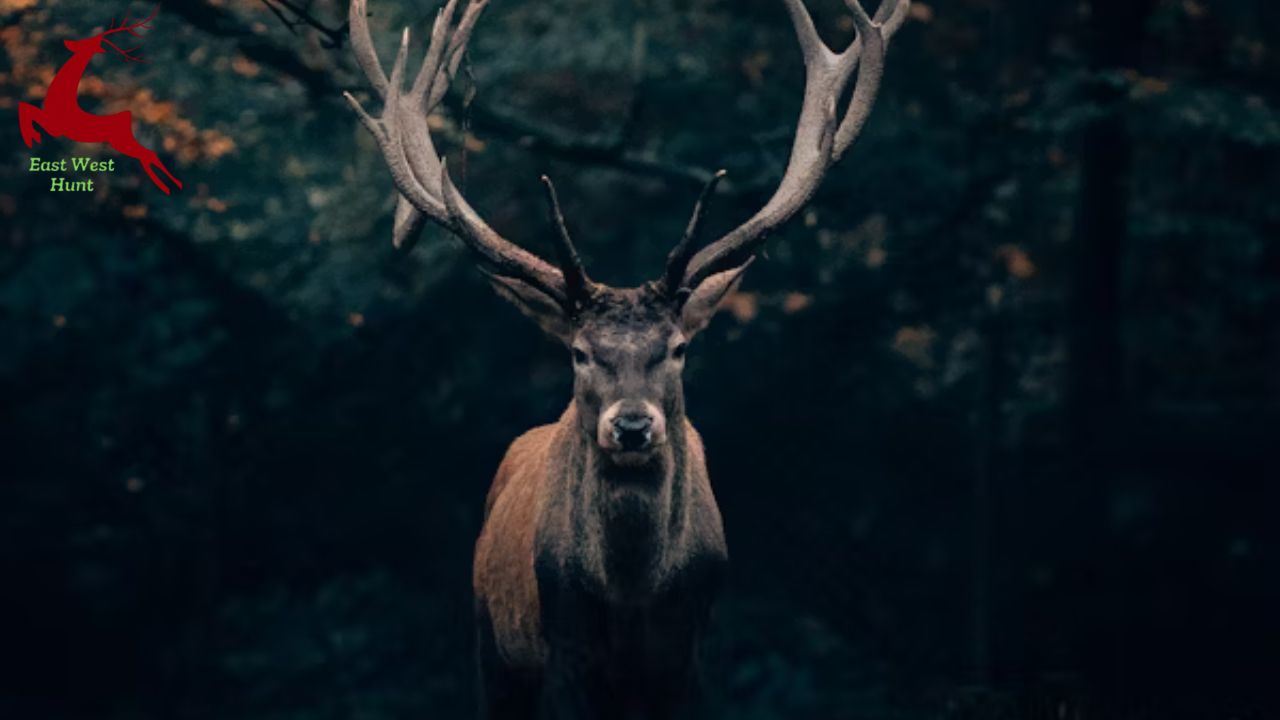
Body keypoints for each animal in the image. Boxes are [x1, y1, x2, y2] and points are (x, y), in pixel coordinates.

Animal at [16, 5, 183, 194]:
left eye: (89, 42)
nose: (69, 41)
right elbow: (26, 107)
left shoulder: (55, 125)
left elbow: (26, 109)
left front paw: (32, 137)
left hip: (121, 142)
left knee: (147, 154)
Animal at [343, 0, 911, 712]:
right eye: (580, 353)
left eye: (679, 347)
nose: (634, 426)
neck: (632, 597)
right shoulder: (564, 651)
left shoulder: (690, 657)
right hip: (491, 640)